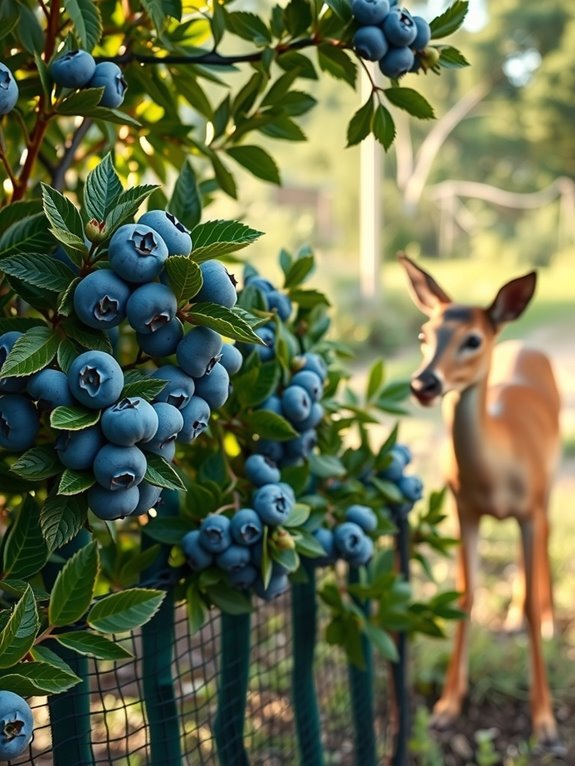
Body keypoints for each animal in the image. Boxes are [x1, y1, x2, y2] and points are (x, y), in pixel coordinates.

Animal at [399, 254, 562, 750]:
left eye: (473, 339)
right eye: (423, 335)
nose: (424, 383)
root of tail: (524, 343)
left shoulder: (529, 509)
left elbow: (529, 601)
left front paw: (545, 721)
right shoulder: (463, 509)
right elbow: (466, 595)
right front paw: (447, 706)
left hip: (549, 483)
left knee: (547, 540)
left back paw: (551, 620)